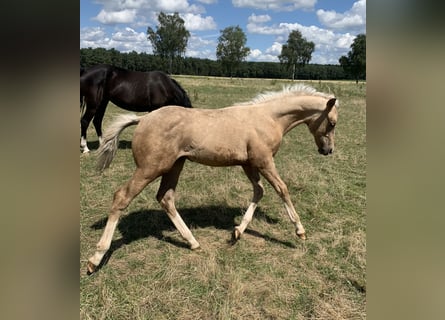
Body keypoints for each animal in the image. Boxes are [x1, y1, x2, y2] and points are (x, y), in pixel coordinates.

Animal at [86, 84, 336, 272]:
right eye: (332, 123)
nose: (328, 151)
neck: (268, 118)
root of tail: (142, 120)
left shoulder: (248, 164)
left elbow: (259, 191)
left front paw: (237, 232)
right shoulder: (264, 161)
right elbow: (281, 189)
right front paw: (300, 231)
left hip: (175, 166)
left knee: (165, 198)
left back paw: (193, 242)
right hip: (151, 168)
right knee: (122, 196)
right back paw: (95, 259)